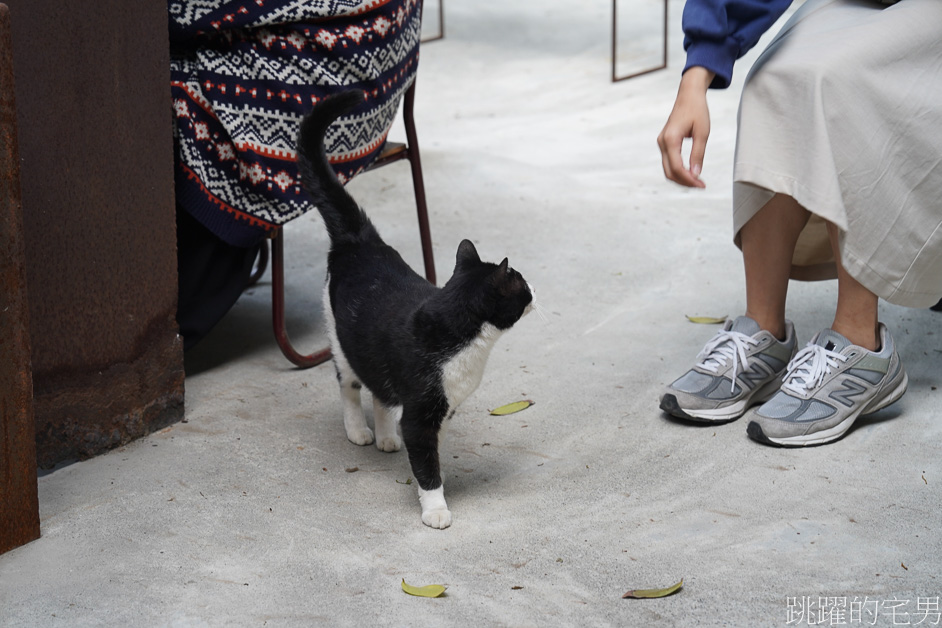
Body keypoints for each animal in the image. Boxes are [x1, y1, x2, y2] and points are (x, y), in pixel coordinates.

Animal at [298, 91, 536, 528]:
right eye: (522, 286)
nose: (535, 289)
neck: (468, 348)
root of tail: (361, 239)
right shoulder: (422, 412)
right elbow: (426, 460)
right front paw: (435, 507)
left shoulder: (443, 409)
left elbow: (430, 449)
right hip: (340, 338)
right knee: (348, 384)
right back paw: (359, 430)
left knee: (379, 388)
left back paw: (386, 437)